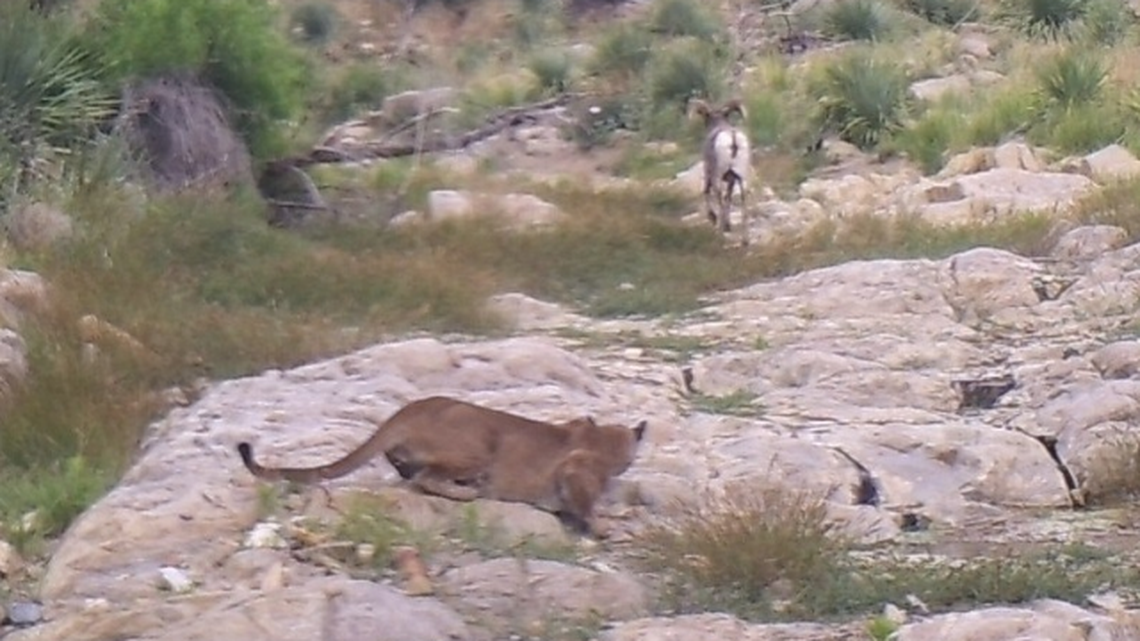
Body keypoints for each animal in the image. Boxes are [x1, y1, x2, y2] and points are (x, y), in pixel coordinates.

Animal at [689, 98, 752, 245]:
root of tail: (733, 139)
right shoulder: (731, 179)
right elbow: (728, 197)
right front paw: (728, 225)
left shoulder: (709, 172)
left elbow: (706, 191)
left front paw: (713, 218)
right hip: (742, 178)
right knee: (743, 201)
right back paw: (745, 240)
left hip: (717, 177)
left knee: (719, 198)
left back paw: (720, 231)